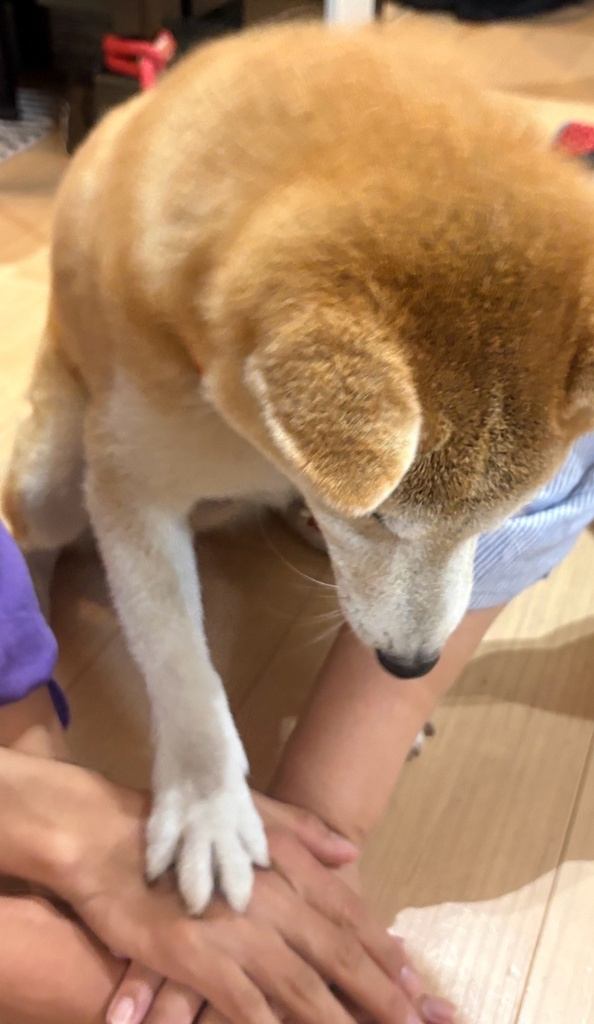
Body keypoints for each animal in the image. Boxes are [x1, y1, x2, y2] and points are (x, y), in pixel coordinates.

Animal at [4, 21, 594, 915]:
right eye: (376, 516)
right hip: (50, 470)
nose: (411, 667)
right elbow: (180, 663)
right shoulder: (130, 488)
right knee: (36, 534)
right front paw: (210, 806)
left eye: (496, 520)